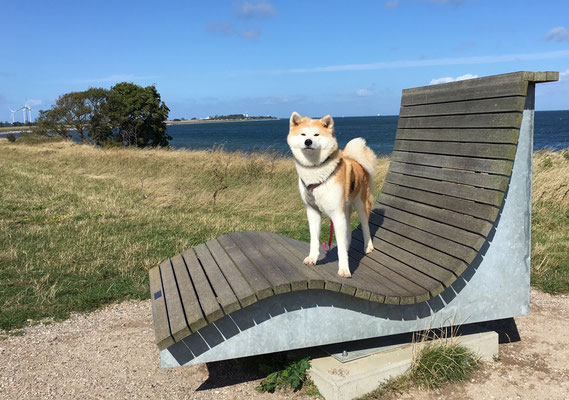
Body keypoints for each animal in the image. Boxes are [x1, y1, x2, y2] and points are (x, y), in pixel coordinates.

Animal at [288, 111, 378, 276]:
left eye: (316, 134)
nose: (308, 142)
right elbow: (314, 240)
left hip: (361, 205)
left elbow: (340, 247)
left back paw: (368, 246)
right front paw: (313, 258)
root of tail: (357, 161)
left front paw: (344, 269)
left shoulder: (336, 213)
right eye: (303, 134)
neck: (314, 170)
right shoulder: (313, 211)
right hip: (346, 208)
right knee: (348, 230)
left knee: (365, 226)